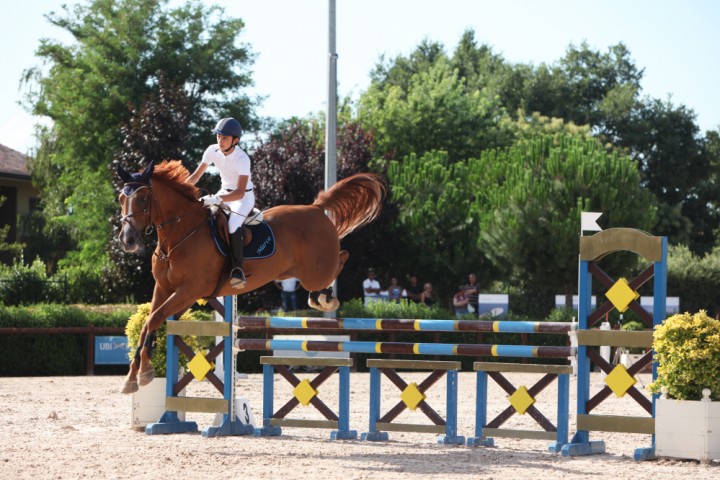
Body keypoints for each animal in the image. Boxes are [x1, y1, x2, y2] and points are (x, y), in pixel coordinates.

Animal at [115, 161, 386, 394]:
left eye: (142, 198)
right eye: (121, 198)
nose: (127, 240)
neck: (179, 235)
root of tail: (317, 208)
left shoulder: (189, 290)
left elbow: (154, 319)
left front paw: (144, 372)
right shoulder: (163, 287)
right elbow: (148, 322)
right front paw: (133, 379)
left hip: (316, 271)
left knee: (341, 258)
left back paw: (326, 298)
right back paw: (320, 297)